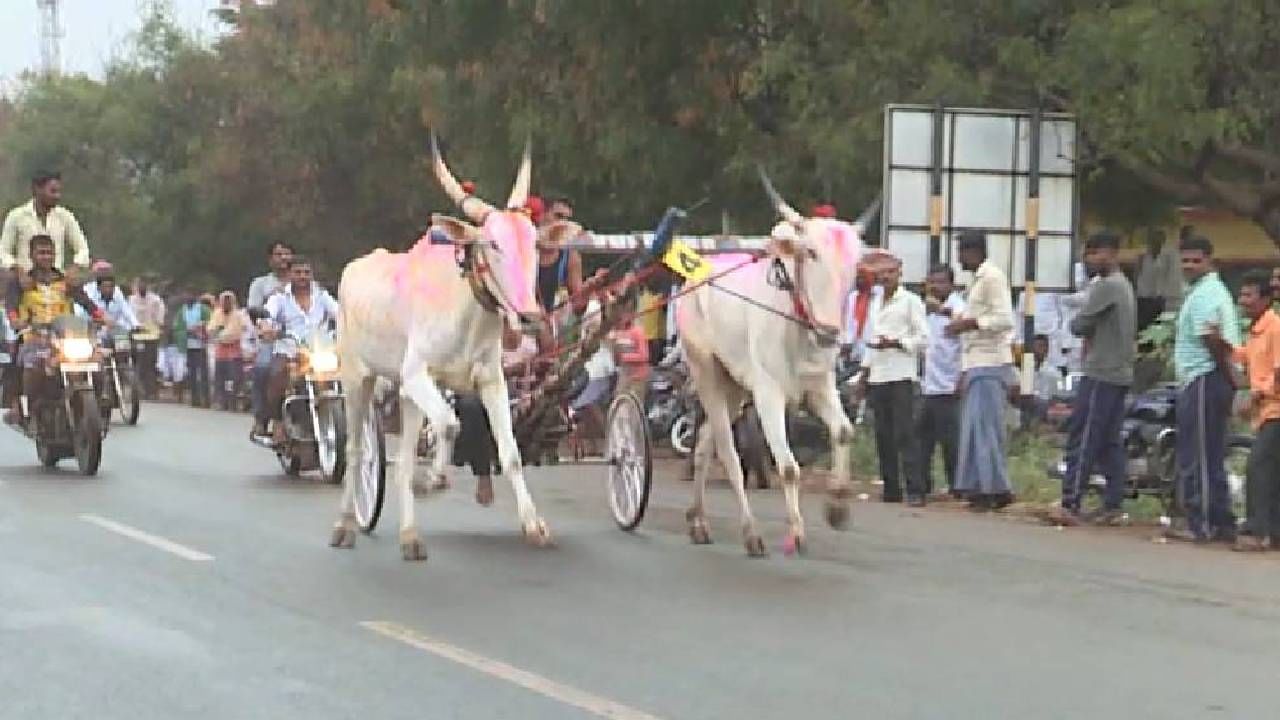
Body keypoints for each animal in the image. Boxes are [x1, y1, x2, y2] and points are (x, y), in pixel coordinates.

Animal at [330, 137, 570, 558]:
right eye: (492, 243)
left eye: (535, 245)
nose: (529, 316)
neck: (466, 308)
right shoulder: (417, 374)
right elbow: (449, 424)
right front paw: (434, 479)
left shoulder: (491, 381)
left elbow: (509, 453)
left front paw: (534, 524)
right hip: (357, 379)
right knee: (358, 450)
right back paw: (345, 526)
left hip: (406, 395)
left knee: (404, 459)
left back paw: (410, 536)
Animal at [680, 175, 860, 556]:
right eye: (811, 252)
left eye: (854, 261)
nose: (830, 332)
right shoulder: (768, 394)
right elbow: (789, 468)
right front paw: (797, 532)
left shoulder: (820, 385)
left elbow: (843, 431)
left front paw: (837, 507)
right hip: (705, 372)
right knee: (728, 452)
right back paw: (750, 533)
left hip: (733, 386)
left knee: (704, 444)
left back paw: (698, 521)